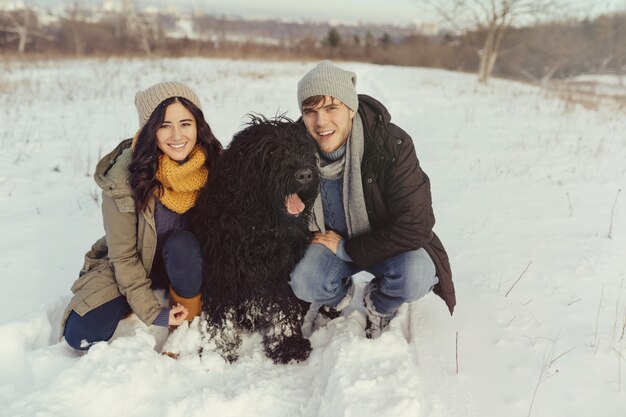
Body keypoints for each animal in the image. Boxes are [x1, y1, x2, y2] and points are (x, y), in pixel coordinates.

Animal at [189, 115, 316, 362]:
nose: (305, 174)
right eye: (271, 151)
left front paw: (288, 344)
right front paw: (217, 351)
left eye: (301, 147)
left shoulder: (278, 272)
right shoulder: (221, 272)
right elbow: (219, 318)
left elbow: (284, 307)